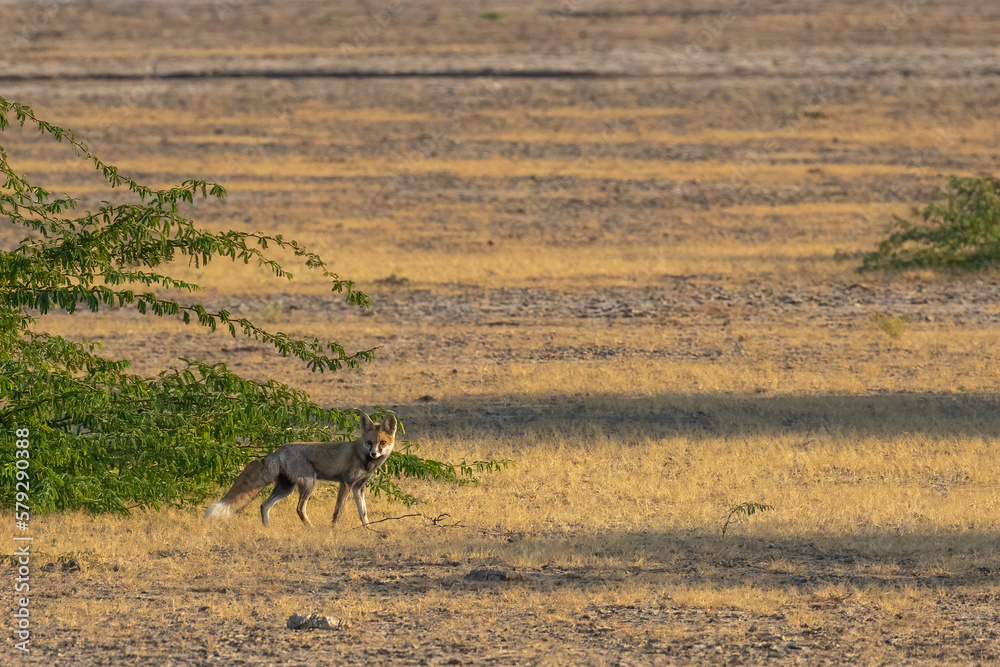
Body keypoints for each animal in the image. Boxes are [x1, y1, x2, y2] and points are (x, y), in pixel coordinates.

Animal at [204, 413, 397, 528]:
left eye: (382, 443)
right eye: (369, 442)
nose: (373, 454)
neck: (363, 458)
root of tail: (278, 450)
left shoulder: (359, 487)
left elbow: (363, 513)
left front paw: (369, 529)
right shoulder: (346, 483)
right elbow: (338, 511)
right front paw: (334, 529)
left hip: (285, 488)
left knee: (264, 505)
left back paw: (267, 528)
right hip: (309, 483)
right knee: (299, 509)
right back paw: (311, 528)